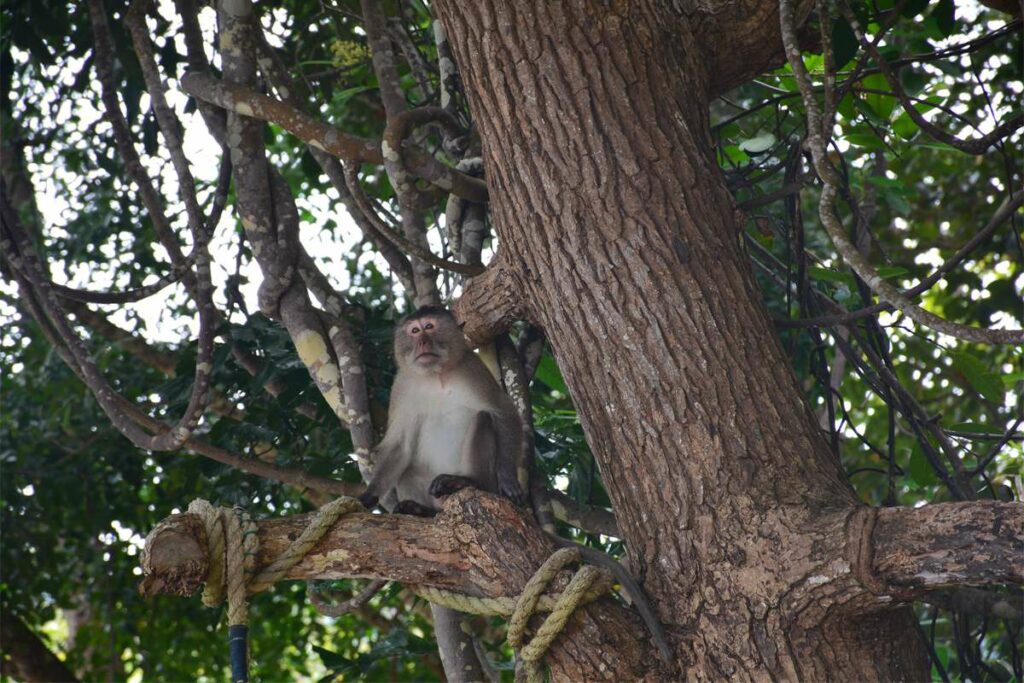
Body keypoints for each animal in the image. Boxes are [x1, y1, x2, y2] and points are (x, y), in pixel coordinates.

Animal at [360, 307, 671, 663]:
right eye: (413, 331)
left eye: (429, 327)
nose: (423, 341)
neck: (435, 375)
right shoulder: (403, 386)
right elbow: (399, 446)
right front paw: (367, 496)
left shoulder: (472, 369)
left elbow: (503, 414)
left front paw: (510, 483)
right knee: (409, 466)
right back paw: (421, 510)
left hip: (481, 477)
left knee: (482, 420)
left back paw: (465, 483)